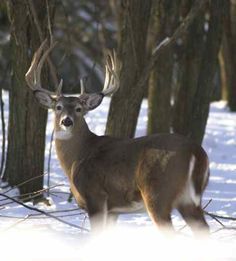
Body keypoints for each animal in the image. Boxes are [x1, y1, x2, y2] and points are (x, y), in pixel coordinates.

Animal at [25, 39, 209, 235]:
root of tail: (196, 152)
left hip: (157, 193)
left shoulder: (95, 195)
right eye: (58, 107)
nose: (67, 121)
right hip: (188, 200)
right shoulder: (114, 209)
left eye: (79, 109)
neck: (77, 157)